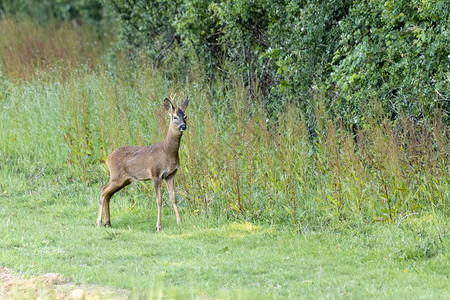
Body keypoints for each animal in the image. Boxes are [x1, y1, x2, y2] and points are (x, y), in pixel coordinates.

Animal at [96, 95, 190, 231]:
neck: (167, 152)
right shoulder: (156, 173)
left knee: (108, 194)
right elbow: (159, 201)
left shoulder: (171, 175)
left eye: (185, 116)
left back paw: (108, 223)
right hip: (117, 176)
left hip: (124, 180)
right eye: (174, 117)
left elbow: (173, 198)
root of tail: (108, 158)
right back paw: (99, 222)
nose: (183, 126)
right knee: (104, 190)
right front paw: (158, 226)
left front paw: (179, 221)